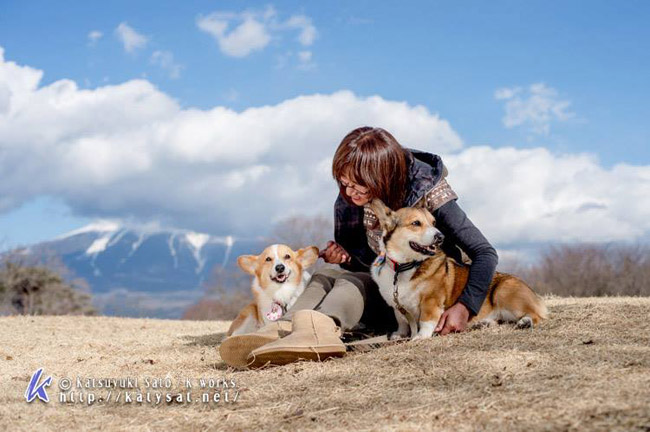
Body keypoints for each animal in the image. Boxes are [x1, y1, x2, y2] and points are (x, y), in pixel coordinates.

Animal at [368, 199, 544, 340]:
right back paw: (483, 323)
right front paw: (400, 334)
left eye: (433, 223)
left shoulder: (431, 301)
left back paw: (525, 321)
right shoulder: (397, 305)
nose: (440, 237)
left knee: (537, 316)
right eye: (416, 223)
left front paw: (419, 337)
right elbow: (402, 321)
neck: (403, 267)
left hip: (504, 291)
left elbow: (426, 321)